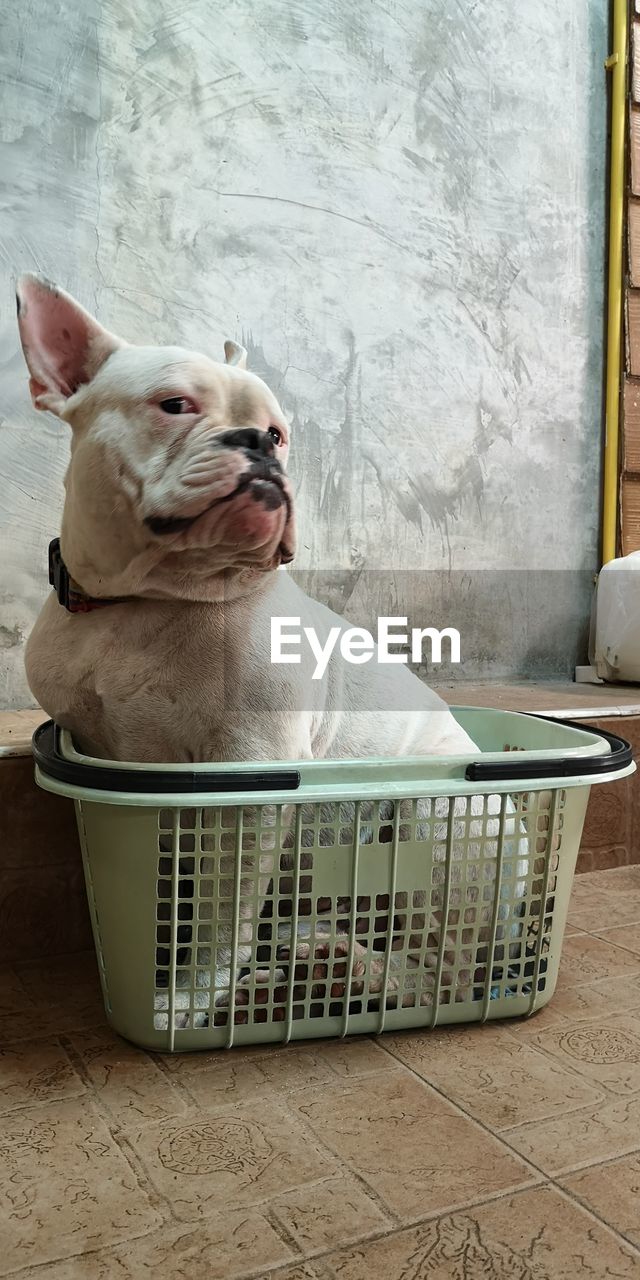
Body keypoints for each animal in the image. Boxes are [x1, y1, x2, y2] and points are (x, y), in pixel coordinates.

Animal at [17, 275, 527, 1024]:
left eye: (280, 432)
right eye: (174, 405)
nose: (260, 441)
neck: (151, 598)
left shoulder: (246, 780)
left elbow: (220, 915)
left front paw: (187, 997)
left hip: (437, 820)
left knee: (443, 975)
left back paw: (343, 974)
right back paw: (310, 965)